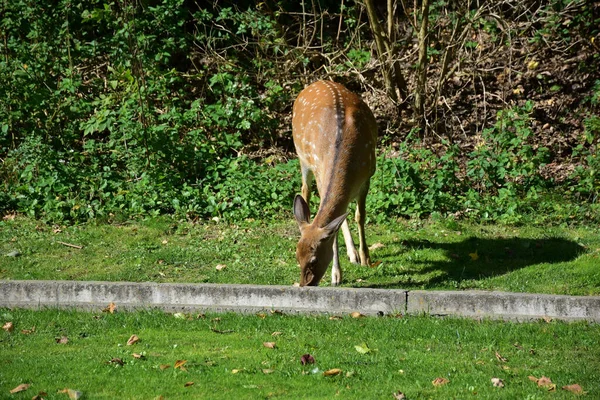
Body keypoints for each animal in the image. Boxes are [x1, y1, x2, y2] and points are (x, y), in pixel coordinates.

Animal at [290, 80, 376, 288]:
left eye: (314, 259)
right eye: (297, 257)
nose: (305, 285)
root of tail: (317, 82)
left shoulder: (368, 176)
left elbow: (359, 216)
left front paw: (366, 258)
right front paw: (336, 275)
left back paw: (354, 254)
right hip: (303, 158)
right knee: (305, 191)